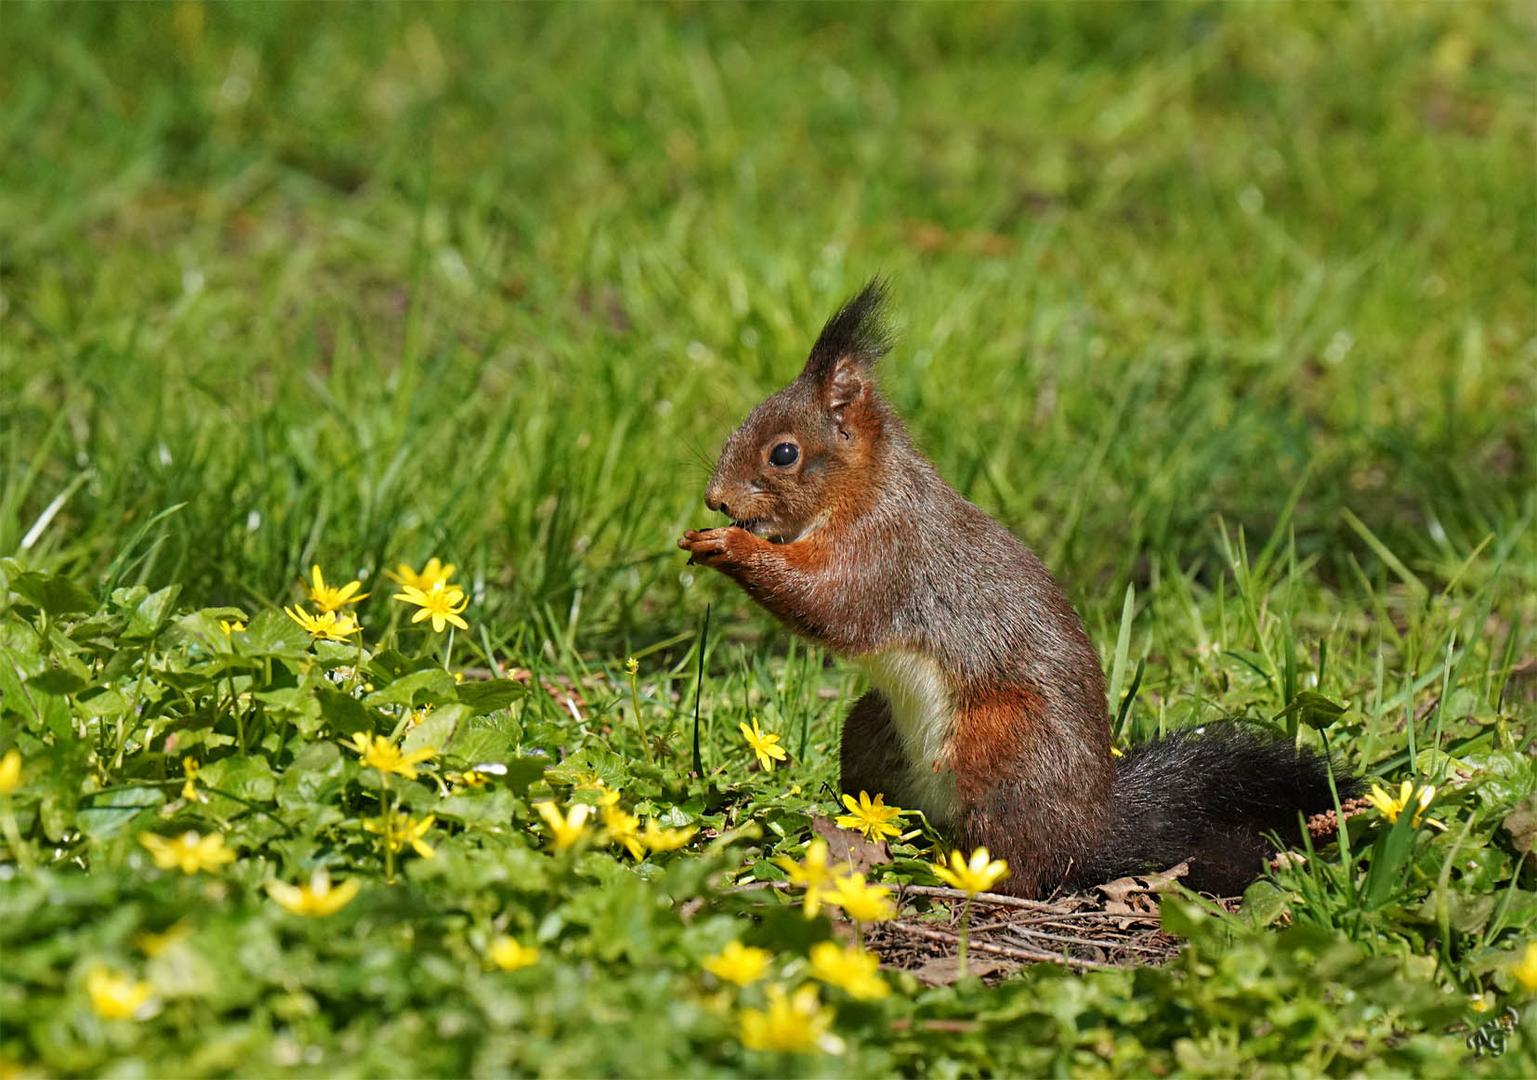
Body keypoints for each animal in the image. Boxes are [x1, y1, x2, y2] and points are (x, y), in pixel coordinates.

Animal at [679, 279, 1352, 897]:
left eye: (784, 454)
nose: (716, 499)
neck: (862, 490)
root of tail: (1091, 832)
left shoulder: (886, 553)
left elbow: (828, 602)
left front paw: (728, 546)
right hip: (873, 729)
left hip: (1001, 749)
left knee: (1026, 867)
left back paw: (959, 874)